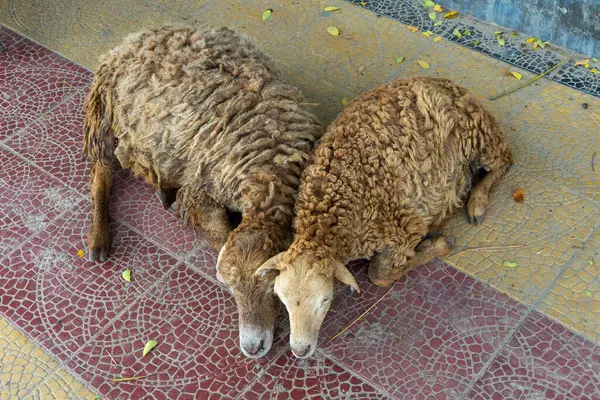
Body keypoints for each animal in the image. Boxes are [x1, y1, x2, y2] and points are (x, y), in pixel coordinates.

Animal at [83, 26, 324, 360]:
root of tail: (134, 39)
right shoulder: (202, 190)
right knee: (101, 171)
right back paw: (99, 237)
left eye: (271, 288)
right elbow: (219, 235)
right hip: (104, 116)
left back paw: (164, 191)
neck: (268, 174)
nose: (251, 347)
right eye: (230, 287)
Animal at [255, 76, 512, 358]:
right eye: (282, 299)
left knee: (505, 159)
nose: (300, 349)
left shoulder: (403, 228)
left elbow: (378, 275)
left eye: (326, 299)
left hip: (480, 136)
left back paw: (477, 202)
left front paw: (437, 245)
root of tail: (446, 82)